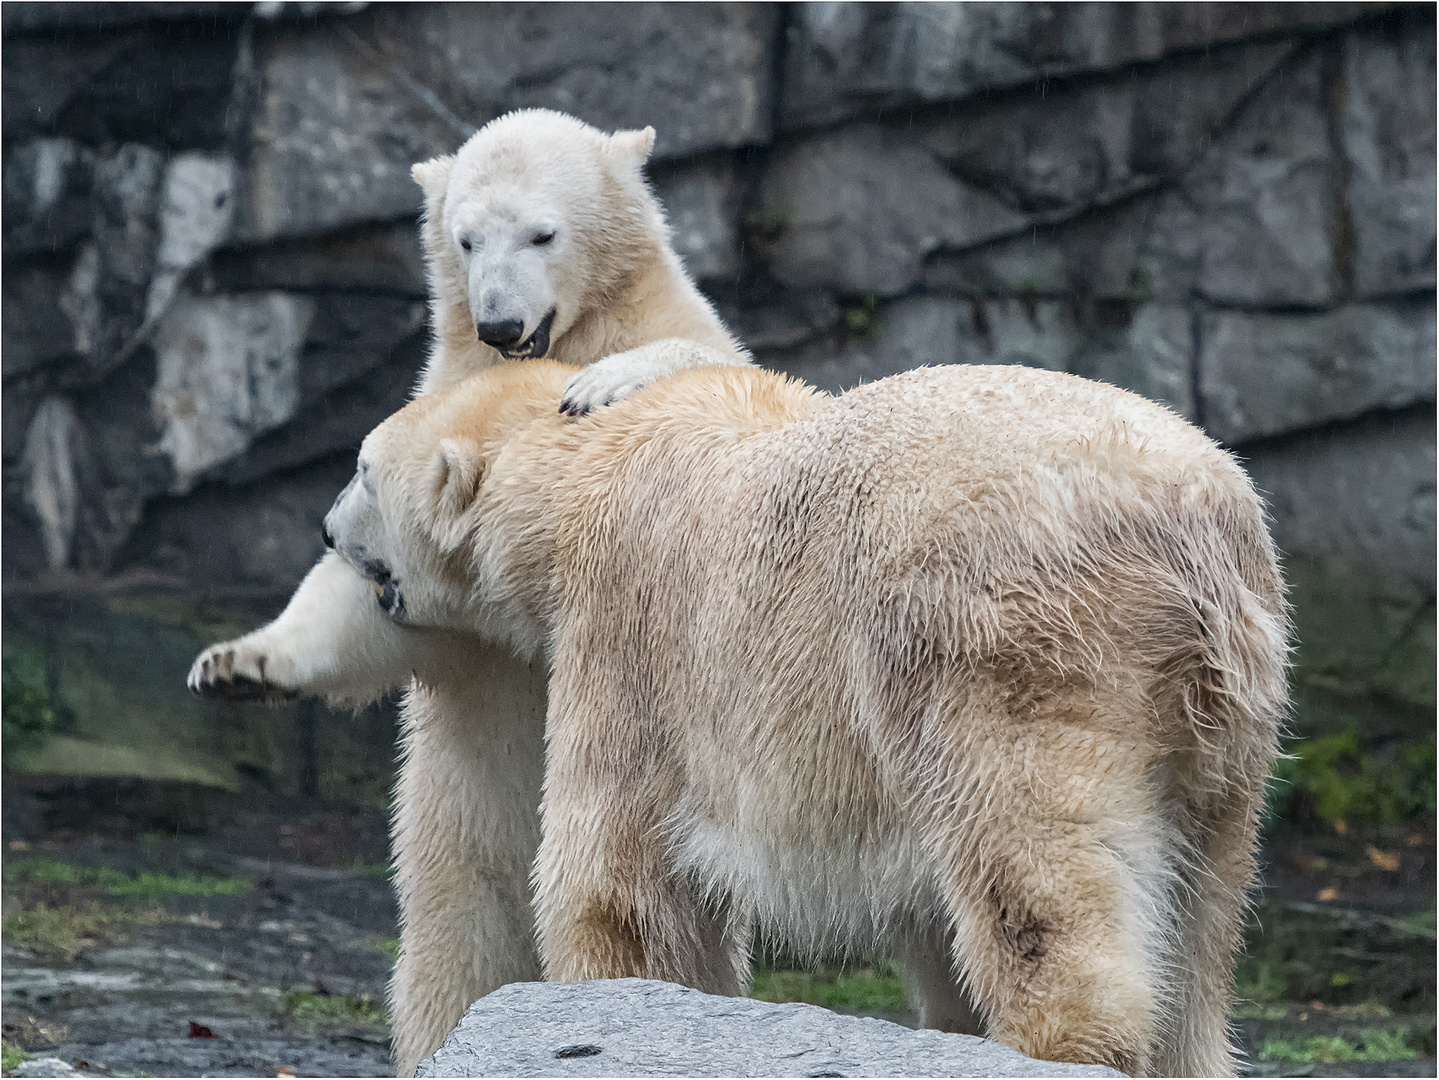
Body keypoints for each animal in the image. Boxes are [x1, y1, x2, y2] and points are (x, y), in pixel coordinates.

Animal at [189, 107, 748, 1075]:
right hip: (453, 852)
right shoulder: (441, 404)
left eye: (543, 233)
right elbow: (379, 589)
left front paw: (605, 383)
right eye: (464, 238)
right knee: (454, 966)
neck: (567, 334)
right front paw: (239, 666)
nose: (498, 321)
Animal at [326, 363, 1295, 1080]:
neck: (590, 462)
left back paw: (1052, 1040)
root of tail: (1184, 523)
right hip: (1230, 710)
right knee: (1200, 913)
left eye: (362, 469)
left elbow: (620, 880)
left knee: (1033, 855)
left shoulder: (630, 631)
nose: (330, 530)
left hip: (1004, 648)